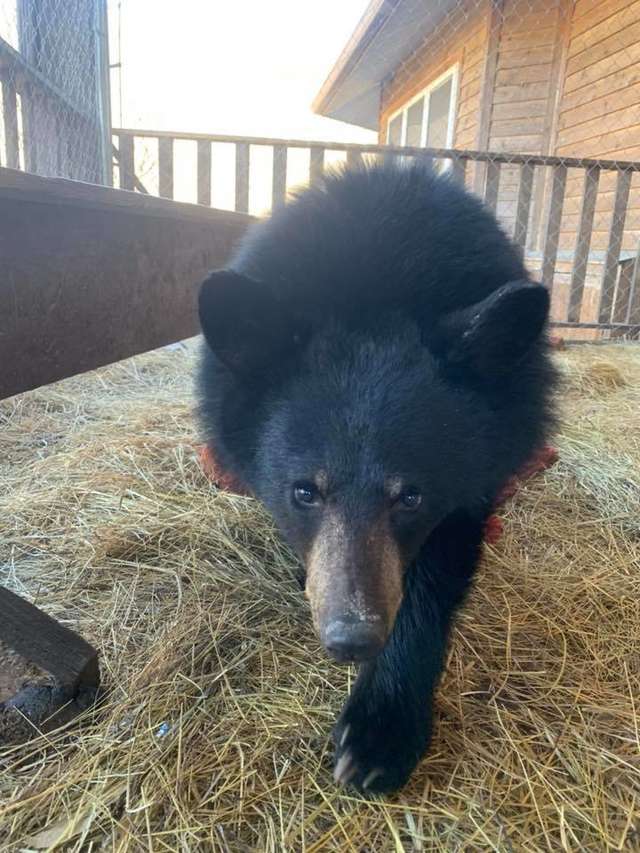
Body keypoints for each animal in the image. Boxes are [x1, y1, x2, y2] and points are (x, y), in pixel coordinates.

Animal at [198, 160, 556, 792]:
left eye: (411, 497)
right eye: (304, 491)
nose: (352, 638)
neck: (377, 289)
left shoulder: (479, 466)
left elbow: (440, 566)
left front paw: (380, 729)